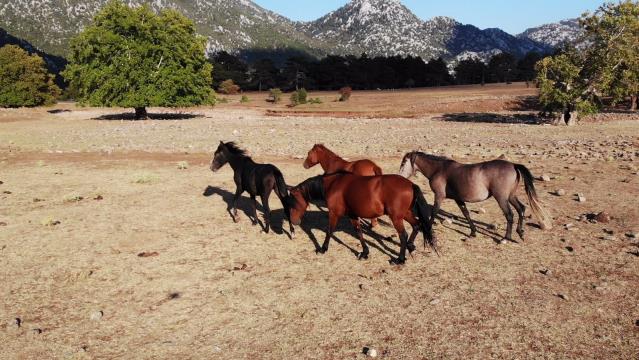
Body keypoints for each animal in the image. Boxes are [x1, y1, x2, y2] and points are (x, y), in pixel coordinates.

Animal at [288, 172, 436, 264]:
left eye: (293, 202)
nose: (294, 221)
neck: (333, 184)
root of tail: (410, 184)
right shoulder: (353, 215)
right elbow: (359, 233)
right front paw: (364, 253)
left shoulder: (334, 213)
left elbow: (329, 231)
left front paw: (323, 249)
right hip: (405, 214)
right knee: (417, 225)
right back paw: (411, 247)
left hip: (396, 217)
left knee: (403, 235)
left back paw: (399, 259)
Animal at [400, 152, 552, 242]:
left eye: (403, 163)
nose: (400, 176)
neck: (439, 169)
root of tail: (513, 165)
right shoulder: (458, 199)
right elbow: (466, 214)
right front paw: (473, 232)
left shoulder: (439, 196)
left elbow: (434, 212)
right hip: (511, 196)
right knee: (521, 209)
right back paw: (520, 233)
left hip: (502, 198)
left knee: (509, 215)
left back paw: (505, 238)